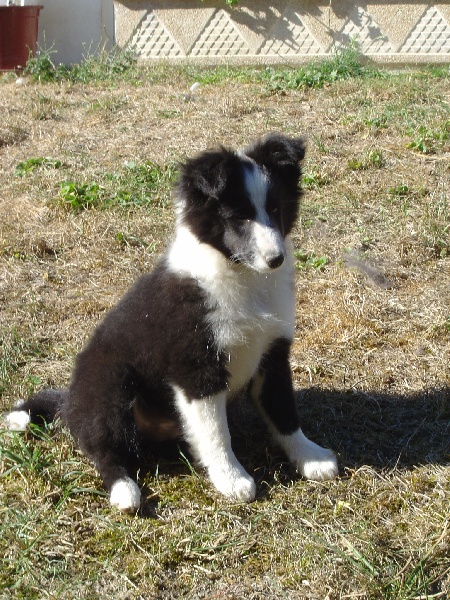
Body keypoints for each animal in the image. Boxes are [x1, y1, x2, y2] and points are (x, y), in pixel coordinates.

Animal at [5, 135, 338, 510]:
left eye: (277, 210)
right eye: (239, 217)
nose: (275, 259)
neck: (242, 276)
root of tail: (69, 401)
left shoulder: (273, 353)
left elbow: (284, 412)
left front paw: (310, 456)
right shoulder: (196, 368)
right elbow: (216, 433)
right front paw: (232, 479)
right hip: (111, 386)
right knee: (103, 449)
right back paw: (125, 490)